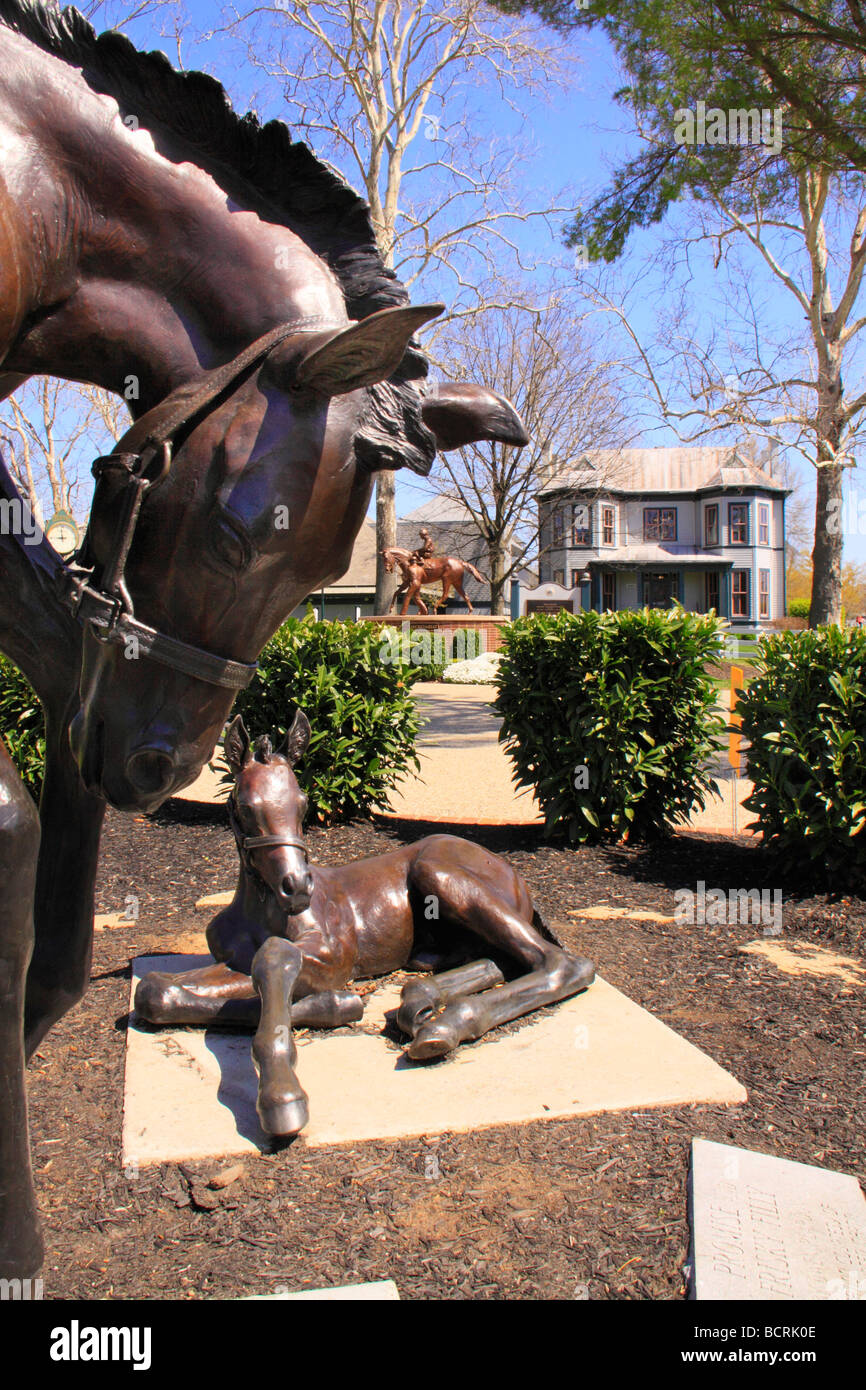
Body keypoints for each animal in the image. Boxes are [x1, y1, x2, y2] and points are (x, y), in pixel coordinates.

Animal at [135, 711, 594, 1134]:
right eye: (244, 808)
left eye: (303, 802)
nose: (296, 887)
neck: (259, 913)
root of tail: (516, 877)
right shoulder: (229, 961)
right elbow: (155, 991)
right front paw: (335, 1006)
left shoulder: (333, 958)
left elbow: (275, 957)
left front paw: (285, 1092)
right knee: (501, 960)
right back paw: (420, 1001)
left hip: (439, 873)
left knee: (563, 963)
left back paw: (444, 1025)